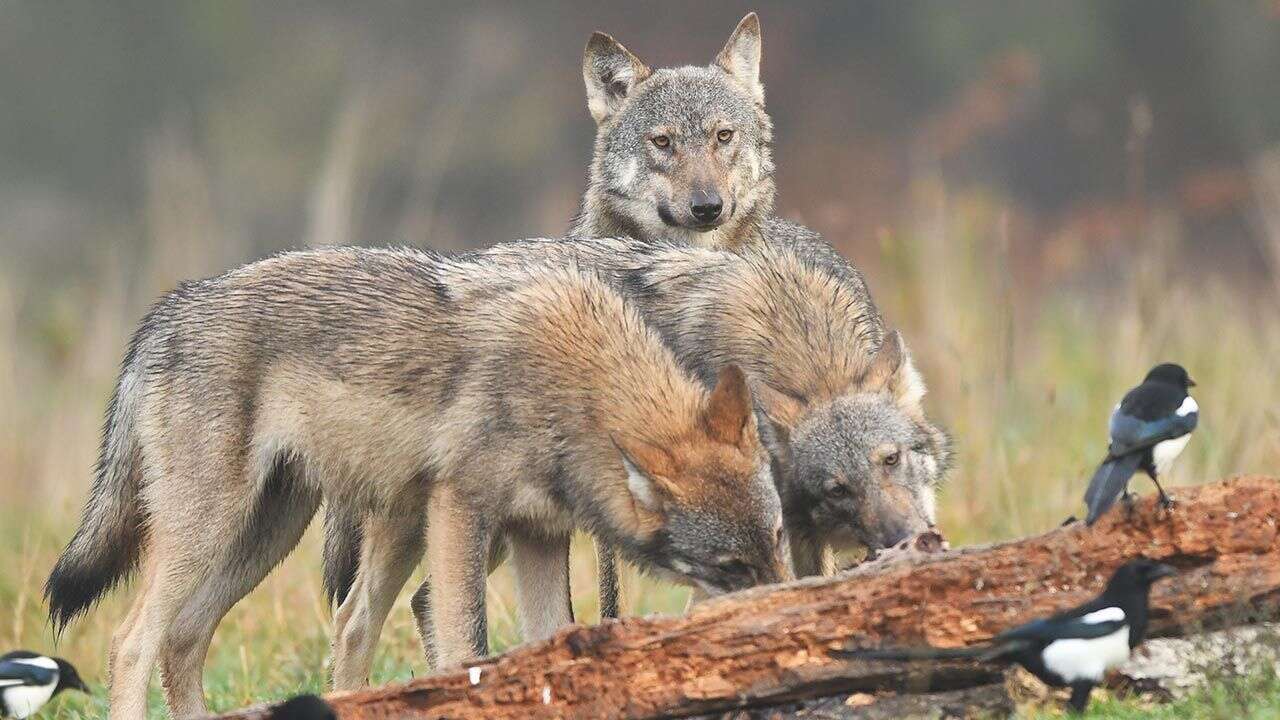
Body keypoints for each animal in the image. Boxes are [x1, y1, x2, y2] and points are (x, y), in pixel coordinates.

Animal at [45, 249, 783, 712]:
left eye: (777, 541)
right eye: (732, 566)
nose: (790, 606)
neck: (573, 385)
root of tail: (168, 307)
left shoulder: (539, 538)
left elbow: (552, 644)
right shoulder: (461, 513)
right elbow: (469, 648)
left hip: (272, 537)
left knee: (188, 640)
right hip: (212, 532)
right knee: (132, 643)